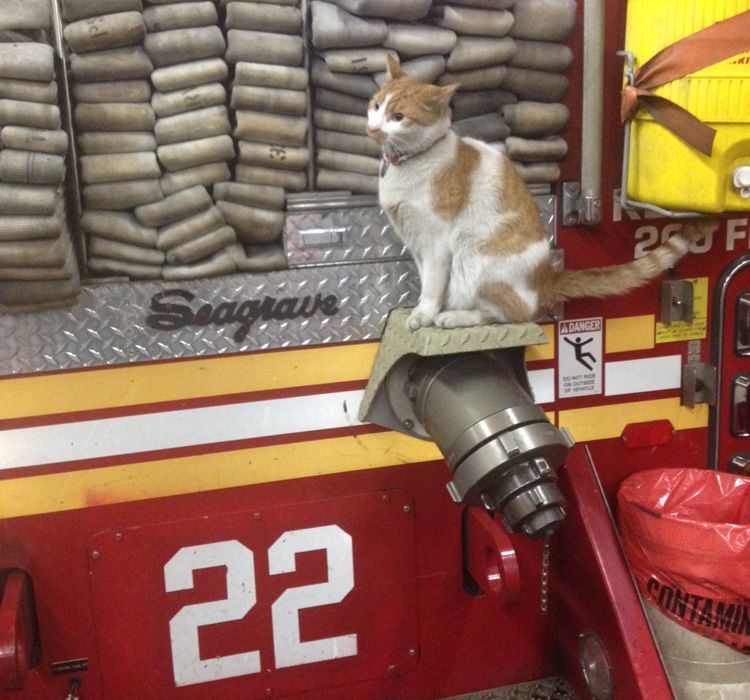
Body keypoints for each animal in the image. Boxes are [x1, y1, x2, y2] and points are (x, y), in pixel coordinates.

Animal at [368, 56, 712, 330]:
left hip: (474, 260)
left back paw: (455, 317)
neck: (407, 164)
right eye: (376, 105)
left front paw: (424, 314)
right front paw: (422, 307)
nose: (373, 128)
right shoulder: (414, 241)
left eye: (398, 117)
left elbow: (433, 284)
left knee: (513, 313)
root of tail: (547, 276)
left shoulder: (436, 242)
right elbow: (426, 278)